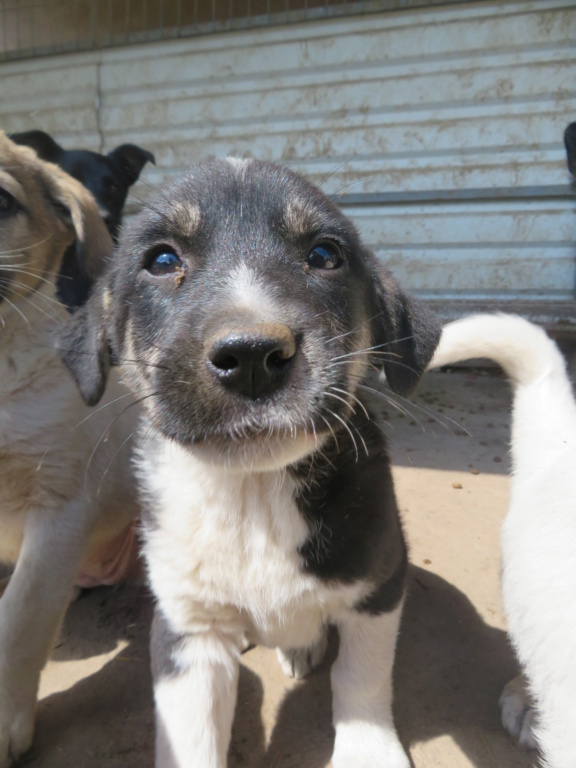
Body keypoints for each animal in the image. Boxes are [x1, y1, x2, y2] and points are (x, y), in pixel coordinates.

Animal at [59, 158, 440, 768]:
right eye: (161, 260)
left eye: (325, 254)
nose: (253, 356)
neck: (254, 490)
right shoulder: (186, 630)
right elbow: (191, 739)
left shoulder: (379, 586)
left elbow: (359, 680)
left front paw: (367, 750)